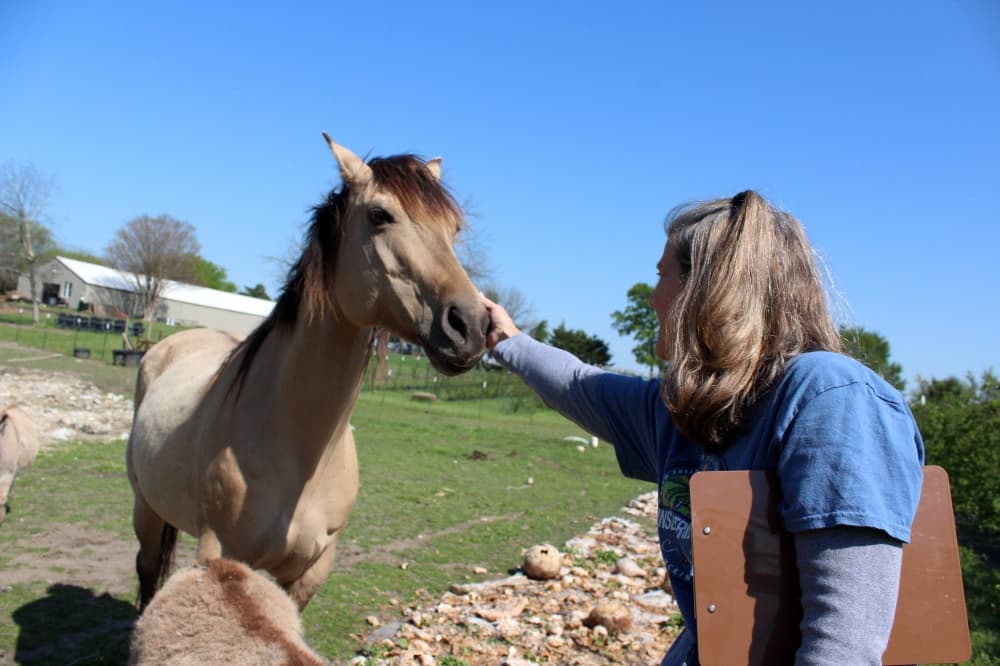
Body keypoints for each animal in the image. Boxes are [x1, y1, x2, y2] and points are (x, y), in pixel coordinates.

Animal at [126, 134, 488, 611]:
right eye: (379, 215)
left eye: (454, 230)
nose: (471, 326)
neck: (298, 453)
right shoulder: (221, 554)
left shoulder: (309, 572)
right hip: (145, 508)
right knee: (148, 572)